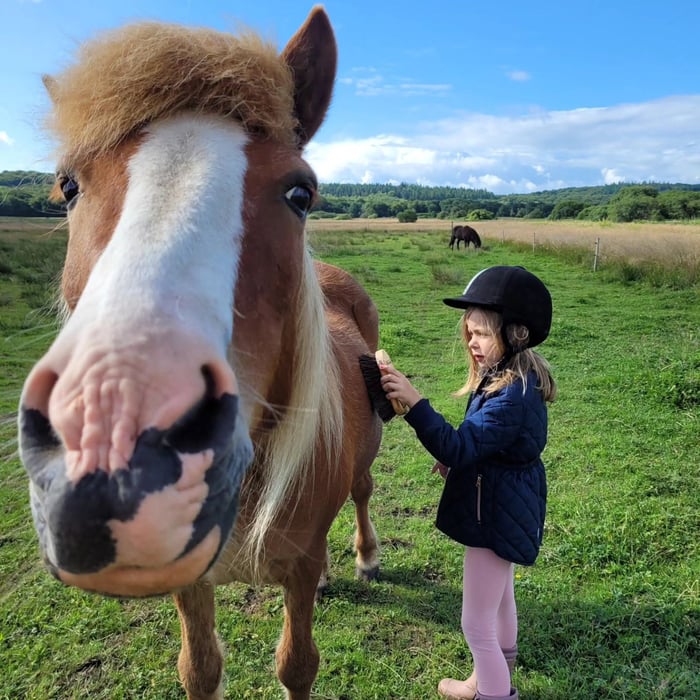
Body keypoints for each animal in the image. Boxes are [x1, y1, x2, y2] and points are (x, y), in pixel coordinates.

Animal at [17, 8, 383, 699]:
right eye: (68, 186)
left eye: (300, 194)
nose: (120, 450)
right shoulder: (188, 579)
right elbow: (200, 667)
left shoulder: (297, 570)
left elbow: (297, 664)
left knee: (364, 490)